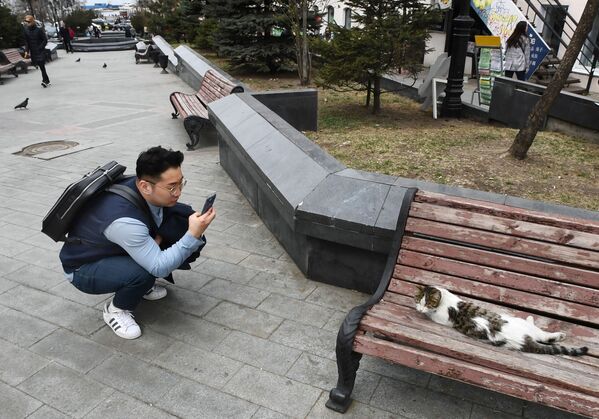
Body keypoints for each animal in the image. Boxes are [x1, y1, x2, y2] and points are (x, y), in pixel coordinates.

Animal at [414, 286, 588, 358]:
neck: (445, 301)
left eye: (427, 303)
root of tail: (522, 341)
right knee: (543, 336)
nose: (420, 309)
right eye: (418, 301)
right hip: (524, 327)